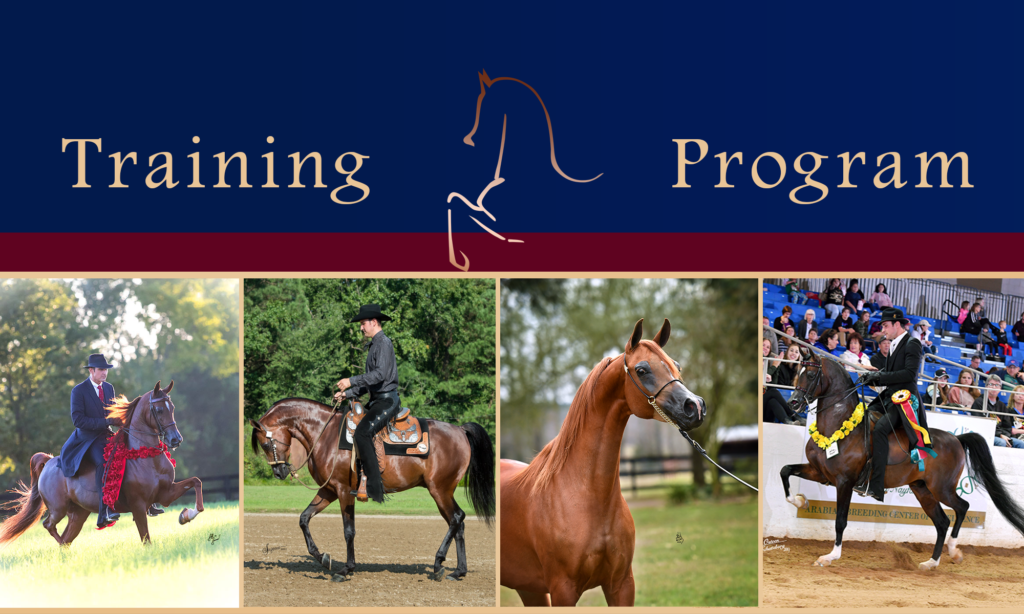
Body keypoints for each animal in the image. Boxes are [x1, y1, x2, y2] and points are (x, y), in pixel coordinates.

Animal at [0, 381, 205, 547]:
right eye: (160, 410)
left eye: (172, 408)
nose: (176, 440)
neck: (147, 457)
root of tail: (50, 461)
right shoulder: (138, 505)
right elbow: (145, 538)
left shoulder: (166, 494)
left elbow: (196, 482)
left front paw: (187, 515)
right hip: (58, 508)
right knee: (49, 526)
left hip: (78, 514)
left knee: (66, 539)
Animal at [248, 397, 495, 581]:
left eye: (266, 443)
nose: (279, 472)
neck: (325, 435)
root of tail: (460, 430)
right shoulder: (328, 490)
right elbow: (304, 518)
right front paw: (323, 558)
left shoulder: (344, 491)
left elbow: (349, 531)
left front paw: (346, 569)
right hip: (443, 491)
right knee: (459, 522)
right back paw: (458, 571)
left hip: (440, 490)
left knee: (456, 518)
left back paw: (438, 563)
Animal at [499, 318, 707, 607]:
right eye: (642, 370)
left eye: (677, 365)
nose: (695, 406)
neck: (584, 497)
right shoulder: (563, 590)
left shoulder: (621, 585)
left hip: (529, 588)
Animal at [780, 348, 1024, 569]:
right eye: (798, 371)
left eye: (811, 374)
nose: (793, 403)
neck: (838, 428)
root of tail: (956, 438)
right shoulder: (820, 472)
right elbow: (785, 471)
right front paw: (800, 501)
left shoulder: (844, 482)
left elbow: (840, 521)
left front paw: (830, 557)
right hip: (922, 489)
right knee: (942, 522)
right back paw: (931, 562)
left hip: (942, 488)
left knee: (962, 507)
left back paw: (954, 551)